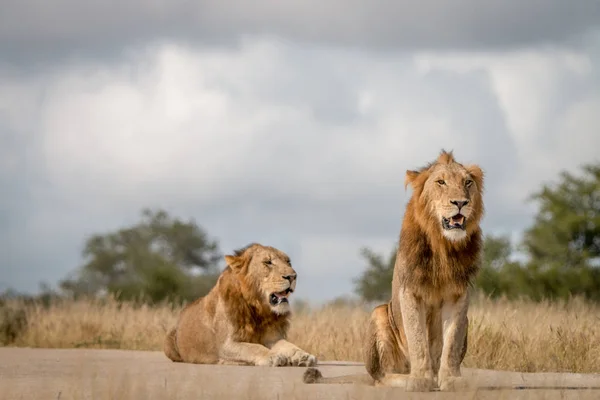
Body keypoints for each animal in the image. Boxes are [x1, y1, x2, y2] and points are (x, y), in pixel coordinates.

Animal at [162, 242, 316, 368]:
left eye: (288, 262)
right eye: (268, 262)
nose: (292, 276)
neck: (259, 309)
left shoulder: (272, 338)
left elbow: (289, 346)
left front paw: (303, 356)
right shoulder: (226, 345)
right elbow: (254, 347)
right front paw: (272, 356)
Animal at [304, 149, 482, 390]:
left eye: (467, 182)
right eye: (441, 182)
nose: (461, 202)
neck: (443, 245)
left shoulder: (458, 294)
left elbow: (451, 342)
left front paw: (451, 380)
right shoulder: (409, 291)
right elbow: (417, 339)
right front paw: (420, 380)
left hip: (467, 320)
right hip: (379, 313)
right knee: (382, 377)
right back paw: (407, 379)